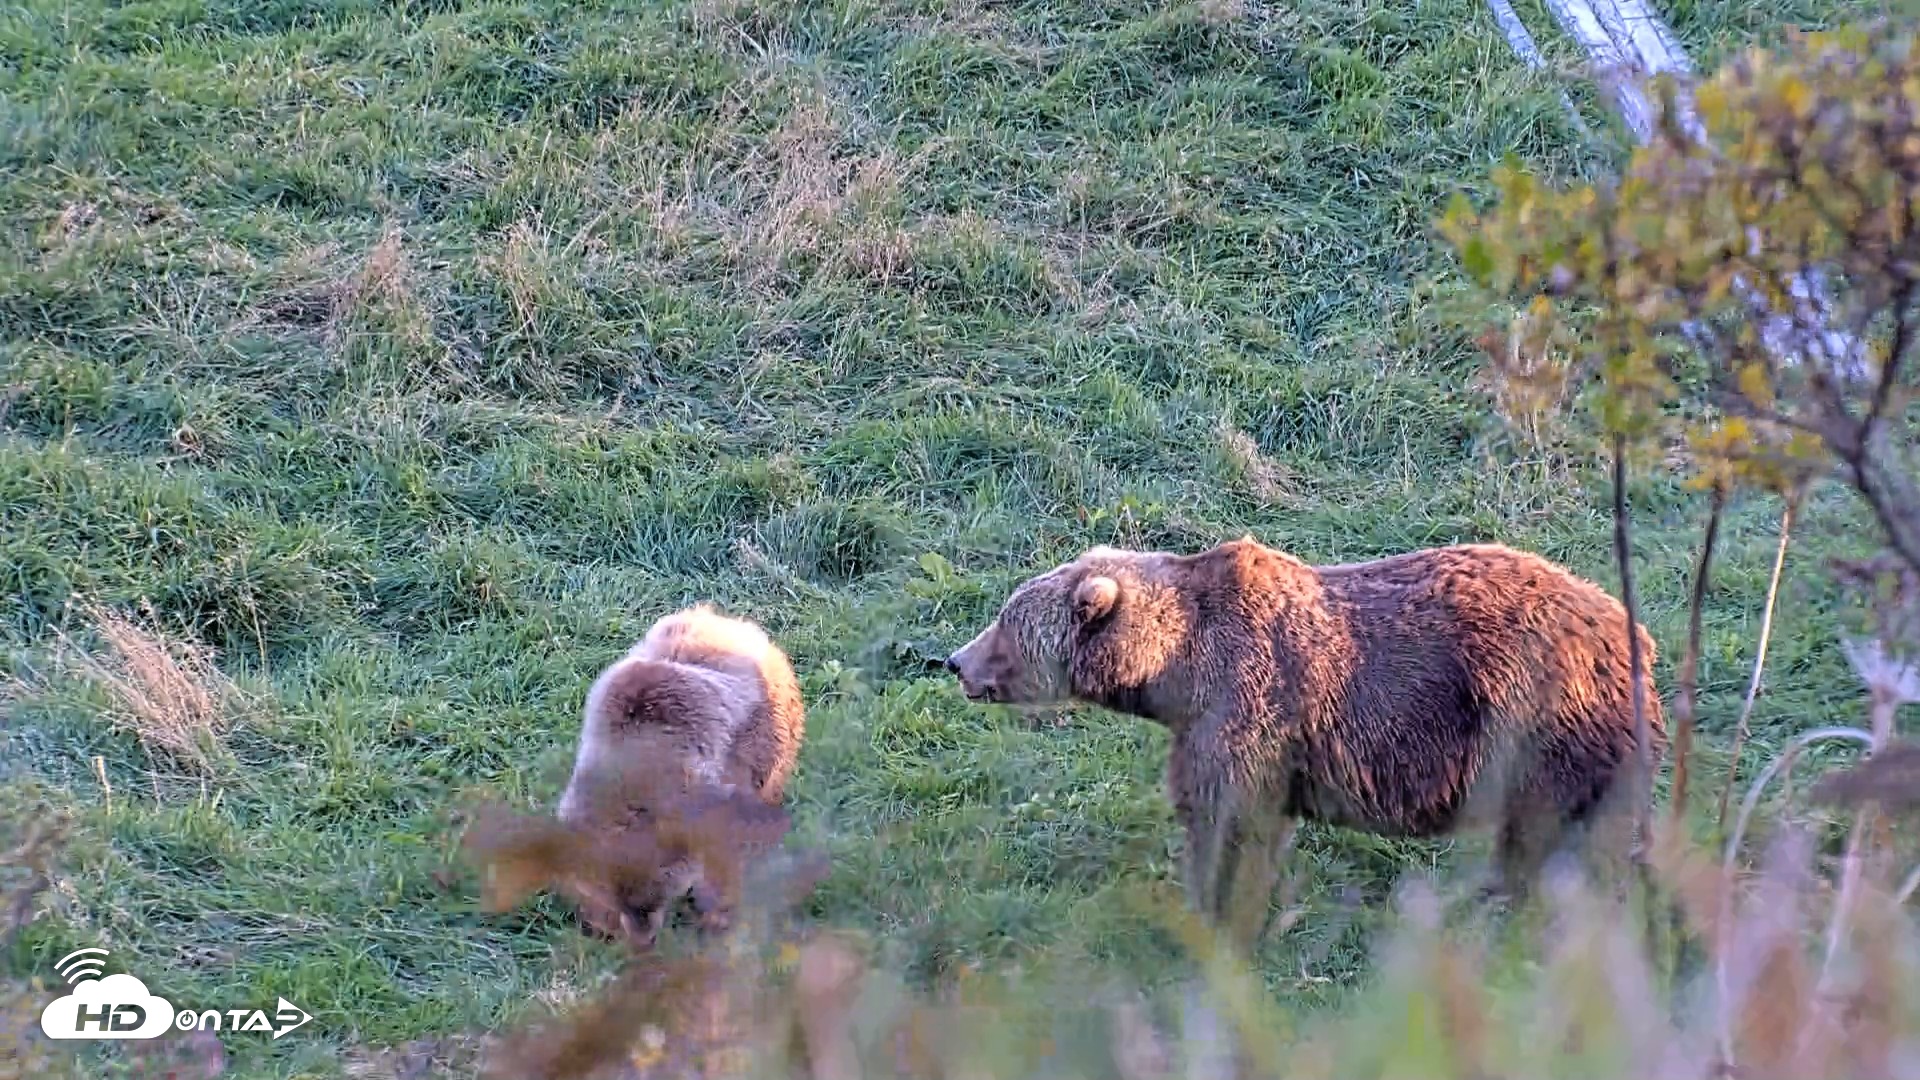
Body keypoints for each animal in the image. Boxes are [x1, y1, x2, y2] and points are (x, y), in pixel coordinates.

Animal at [944, 536, 1665, 951]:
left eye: (1005, 622)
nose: (954, 661)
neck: (1175, 668)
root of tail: (1631, 631)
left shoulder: (1246, 707)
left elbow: (1229, 823)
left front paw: (1216, 917)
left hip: (1543, 726)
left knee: (1550, 842)